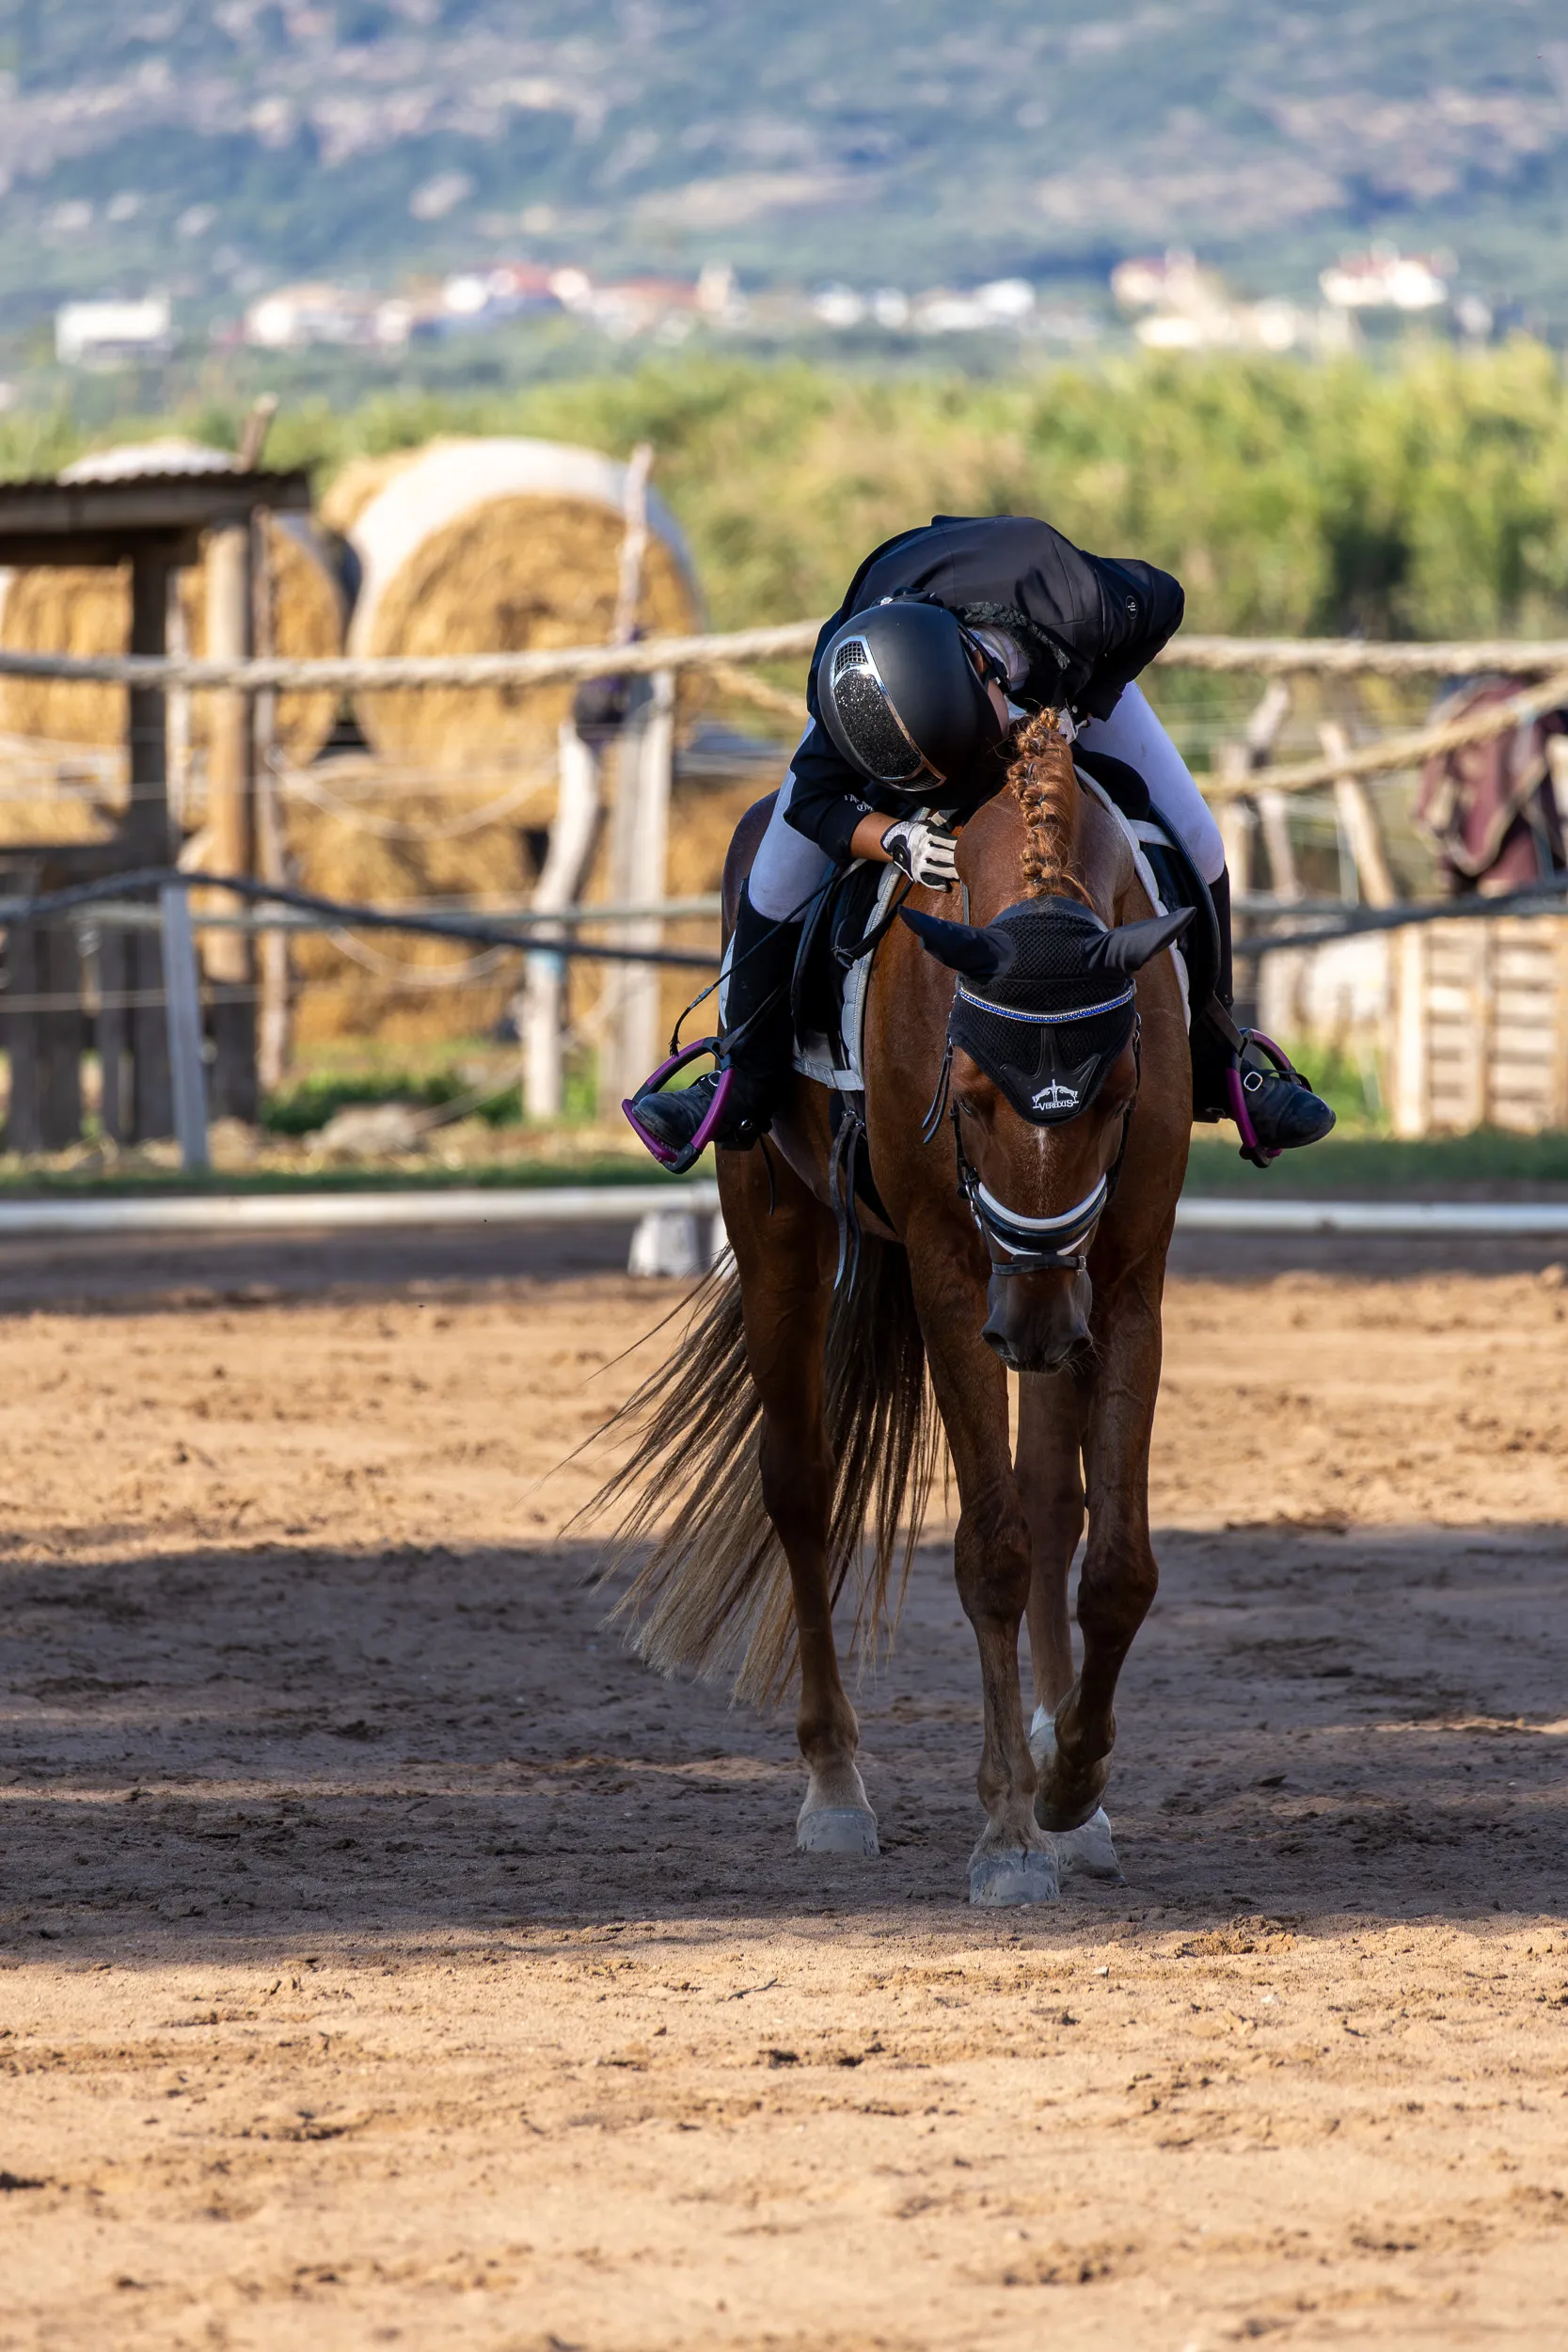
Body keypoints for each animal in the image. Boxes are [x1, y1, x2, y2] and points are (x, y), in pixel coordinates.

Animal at [594, 712, 1193, 1904]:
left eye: (1114, 1093)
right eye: (967, 1092)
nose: (1034, 1326)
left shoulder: (1121, 1280)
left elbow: (1113, 1563)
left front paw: (1071, 1785)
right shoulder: (953, 1277)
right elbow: (991, 1554)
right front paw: (1008, 1833)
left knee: (1051, 1498)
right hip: (778, 1225)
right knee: (799, 1487)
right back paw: (833, 1787)